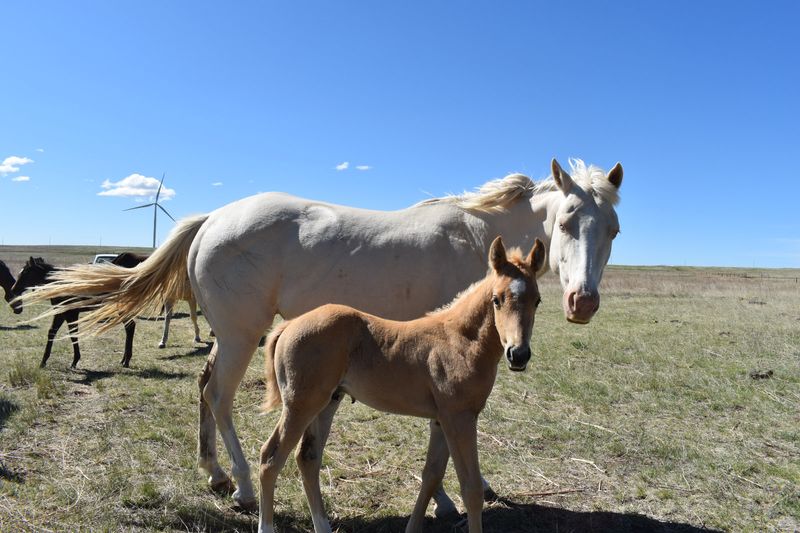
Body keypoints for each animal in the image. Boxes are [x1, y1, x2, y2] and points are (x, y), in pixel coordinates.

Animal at [9, 252, 145, 368]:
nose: (13, 290)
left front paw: (75, 361)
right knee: (129, 327)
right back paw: (124, 359)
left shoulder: (71, 313)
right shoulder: (60, 312)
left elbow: (73, 333)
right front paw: (43, 361)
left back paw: (126, 360)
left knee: (130, 326)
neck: (60, 284)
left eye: (26, 273)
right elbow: (52, 332)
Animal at [25, 157, 620, 516]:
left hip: (227, 334)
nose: (583, 302)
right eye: (566, 222)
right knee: (219, 397)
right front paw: (450, 501)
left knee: (202, 388)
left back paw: (214, 473)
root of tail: (213, 217)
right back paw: (243, 485)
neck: (477, 237)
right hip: (242, 336)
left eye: (612, 229)